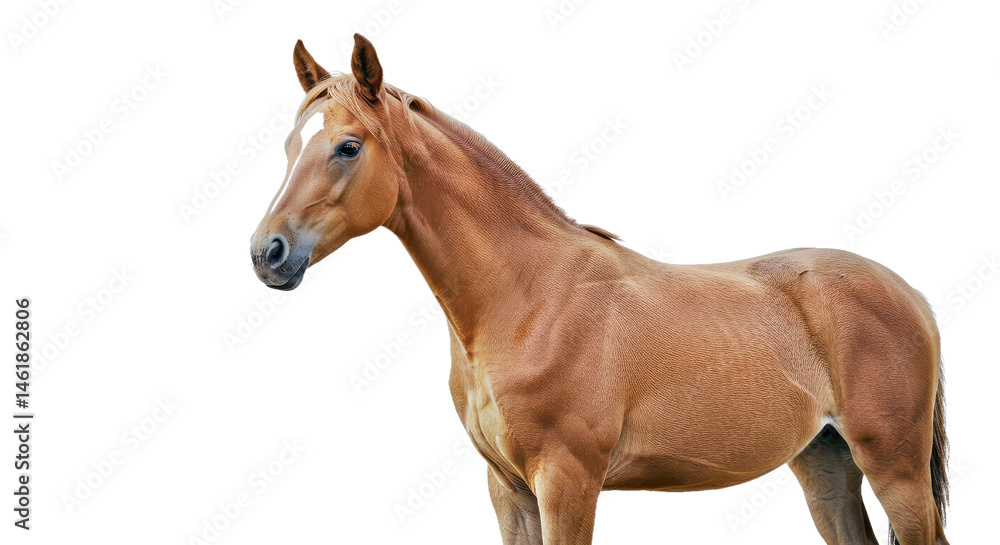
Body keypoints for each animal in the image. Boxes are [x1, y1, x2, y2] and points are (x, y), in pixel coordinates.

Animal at [250, 34, 950, 545]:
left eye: (347, 147)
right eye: (289, 145)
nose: (267, 253)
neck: (530, 300)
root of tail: (910, 294)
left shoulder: (567, 482)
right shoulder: (509, 491)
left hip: (895, 468)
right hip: (826, 464)